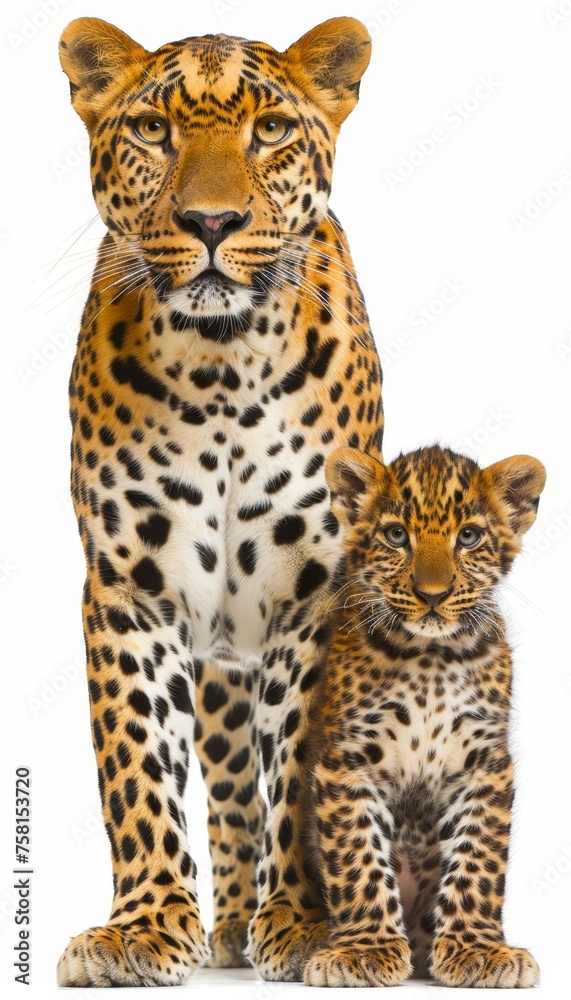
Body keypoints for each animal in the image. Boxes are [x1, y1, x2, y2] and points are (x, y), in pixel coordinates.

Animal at [55, 15, 383, 987]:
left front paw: (306, 924)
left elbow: (302, 765)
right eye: (152, 130)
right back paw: (226, 921)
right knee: (231, 780)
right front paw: (142, 926)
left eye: (269, 130)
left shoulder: (315, 590)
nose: (210, 222)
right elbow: (137, 764)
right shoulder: (128, 587)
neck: (221, 365)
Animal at [302, 443, 545, 988]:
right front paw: (364, 951)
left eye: (469, 537)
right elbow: (358, 858)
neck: (430, 657)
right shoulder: (347, 761)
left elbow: (478, 857)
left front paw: (479, 950)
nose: (432, 594)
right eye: (397, 535)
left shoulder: (485, 762)